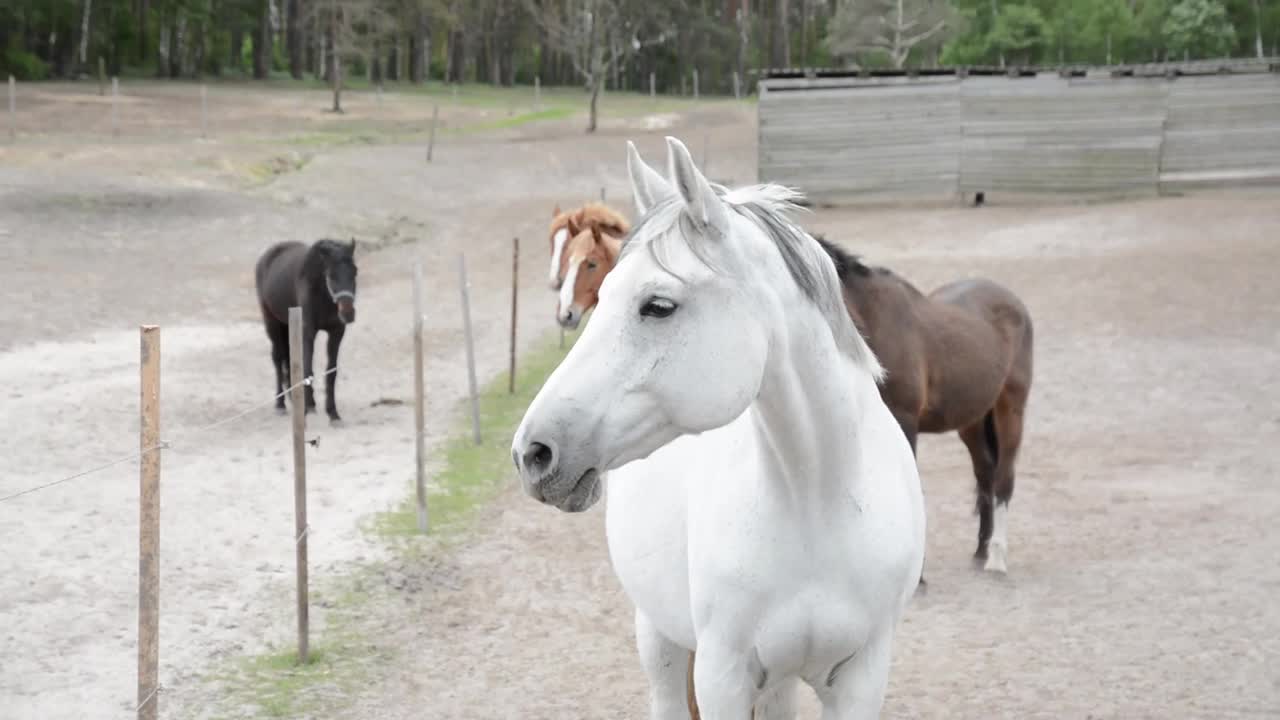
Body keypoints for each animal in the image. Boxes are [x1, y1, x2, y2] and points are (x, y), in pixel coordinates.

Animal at [253, 238, 358, 422]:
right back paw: (280, 404)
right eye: (331, 275)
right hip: (272, 323)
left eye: (355, 272)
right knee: (277, 359)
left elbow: (331, 372)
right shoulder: (308, 332)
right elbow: (307, 368)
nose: (348, 313)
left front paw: (333, 413)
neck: (323, 295)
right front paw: (308, 406)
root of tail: (266, 256)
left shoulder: (336, 333)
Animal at [512, 137, 931, 712]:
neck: (821, 502)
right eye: (605, 287)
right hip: (658, 636)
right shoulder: (722, 676)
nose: (533, 452)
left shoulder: (862, 679)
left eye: (657, 305)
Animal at [814, 235, 1034, 571]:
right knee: (984, 472)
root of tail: (1013, 302)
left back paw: (996, 559)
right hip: (971, 419)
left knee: (1003, 478)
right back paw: (980, 550)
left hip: (1011, 408)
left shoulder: (904, 421)